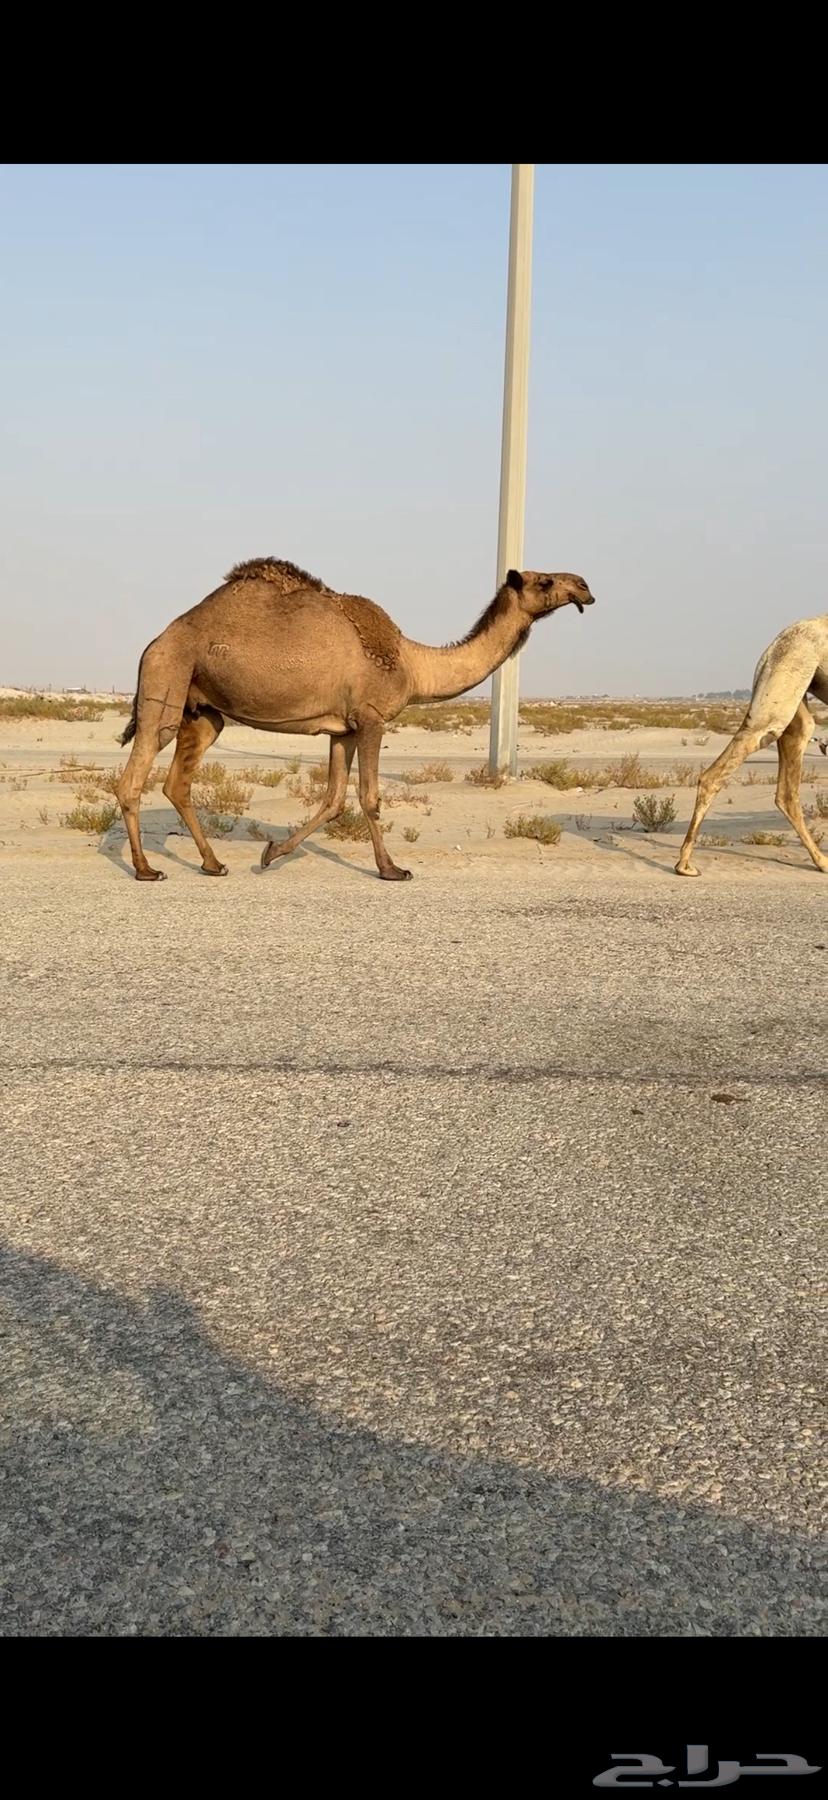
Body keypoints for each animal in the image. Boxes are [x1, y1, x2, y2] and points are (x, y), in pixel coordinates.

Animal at [116, 557, 595, 881]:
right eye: (545, 580)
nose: (585, 586)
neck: (413, 663)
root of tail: (153, 643)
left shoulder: (342, 730)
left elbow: (332, 800)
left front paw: (271, 853)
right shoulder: (371, 719)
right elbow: (369, 797)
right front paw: (392, 869)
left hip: (202, 712)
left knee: (177, 783)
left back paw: (213, 863)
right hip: (166, 680)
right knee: (134, 777)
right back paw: (145, 869)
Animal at [675, 611, 828, 876]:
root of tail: (772, 647)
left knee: (787, 790)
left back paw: (821, 861)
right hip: (785, 682)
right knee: (715, 773)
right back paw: (684, 865)